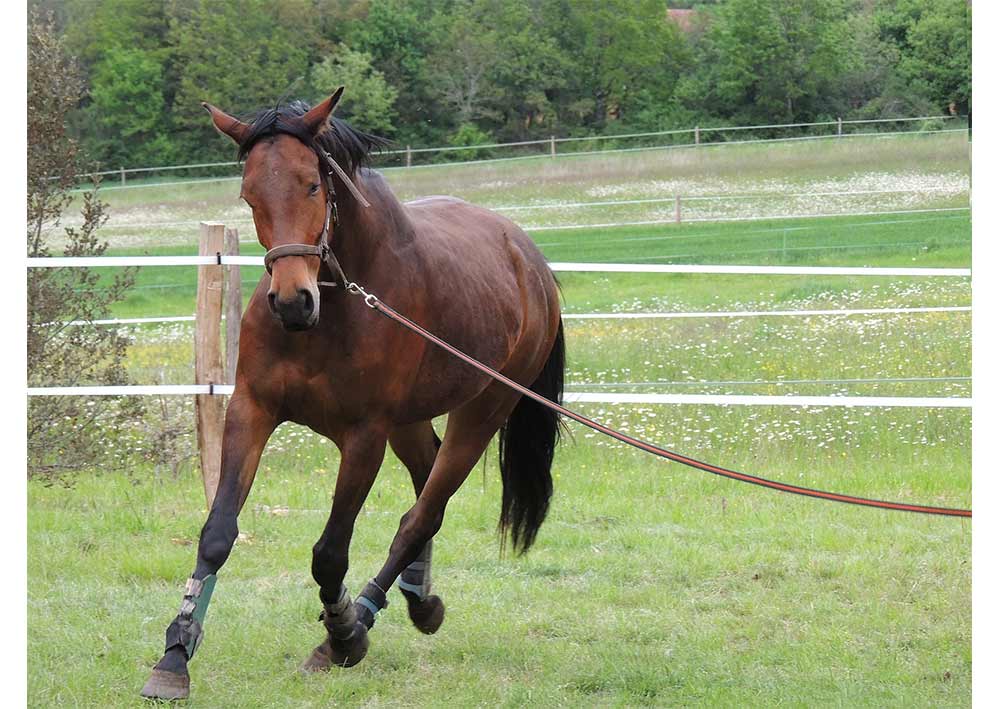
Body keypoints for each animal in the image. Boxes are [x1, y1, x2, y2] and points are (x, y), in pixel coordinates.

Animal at [140, 88, 566, 700]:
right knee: (425, 488)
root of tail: (530, 259)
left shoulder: (364, 438)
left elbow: (329, 554)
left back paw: (363, 615)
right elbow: (217, 533)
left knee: (422, 514)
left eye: (312, 186)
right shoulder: (251, 410)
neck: (333, 310)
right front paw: (174, 656)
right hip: (410, 422)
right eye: (249, 194)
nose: (292, 301)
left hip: (482, 411)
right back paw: (419, 598)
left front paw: (341, 635)